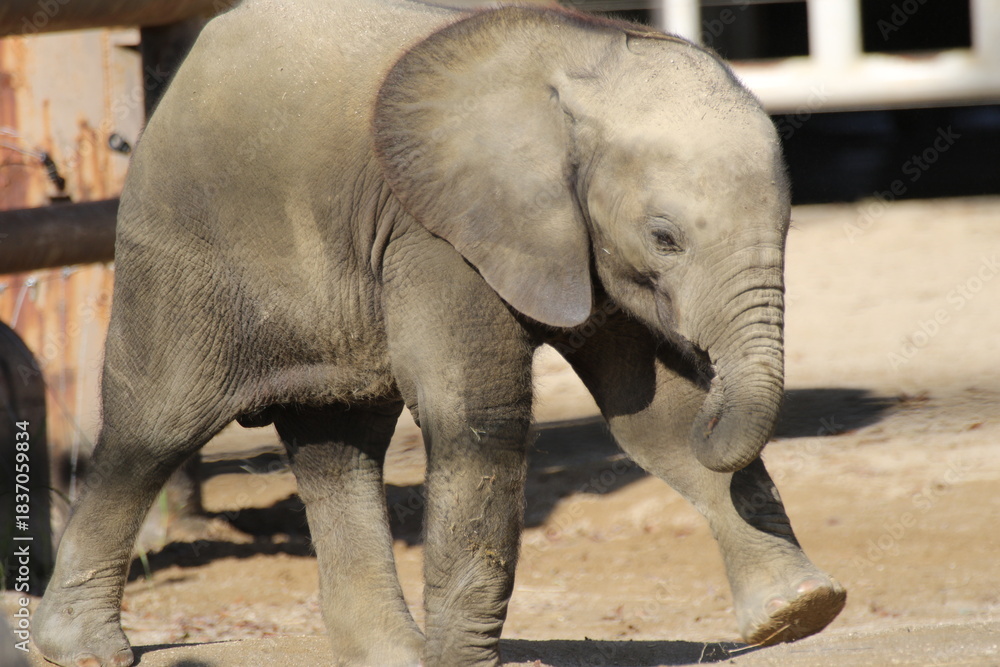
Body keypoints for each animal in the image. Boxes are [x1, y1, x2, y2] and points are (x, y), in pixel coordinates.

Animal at [34, 1, 846, 665]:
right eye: (665, 237)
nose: (708, 365)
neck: (580, 58)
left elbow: (654, 417)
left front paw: (800, 612)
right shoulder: (436, 227)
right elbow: (478, 414)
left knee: (339, 447)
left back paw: (391, 657)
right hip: (182, 245)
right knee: (154, 429)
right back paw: (80, 650)